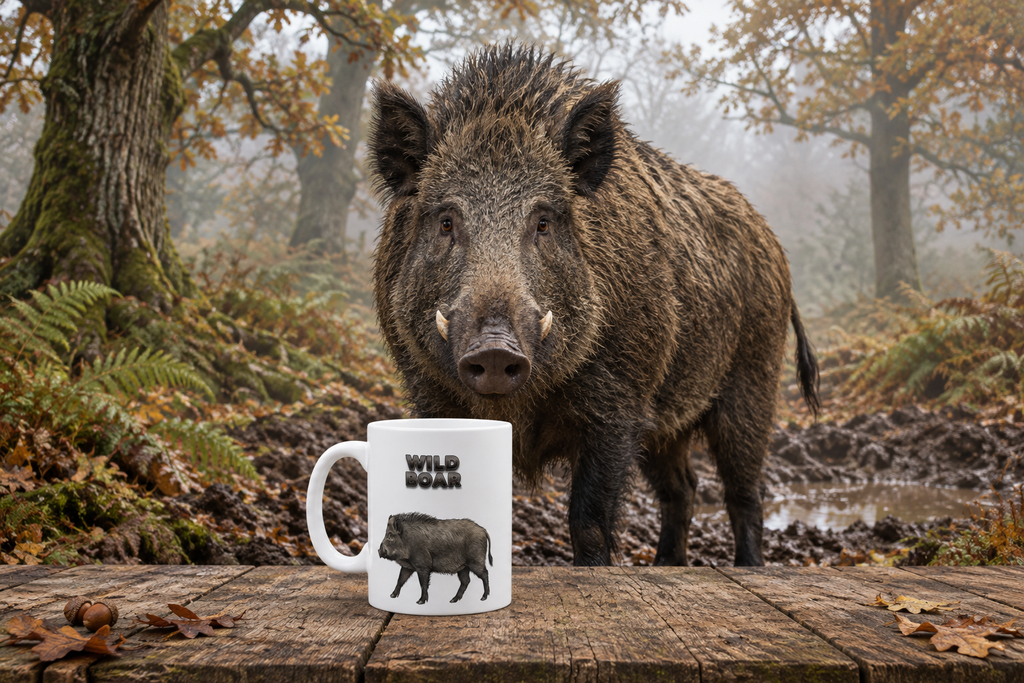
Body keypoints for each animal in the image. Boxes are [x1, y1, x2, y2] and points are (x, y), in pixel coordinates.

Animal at [368, 43, 819, 567]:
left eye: (544, 221)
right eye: (445, 221)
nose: (495, 349)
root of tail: (775, 247)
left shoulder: (620, 404)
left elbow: (589, 521)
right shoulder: (429, 392)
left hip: (753, 379)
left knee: (744, 491)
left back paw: (747, 566)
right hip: (668, 420)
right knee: (683, 488)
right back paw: (666, 567)